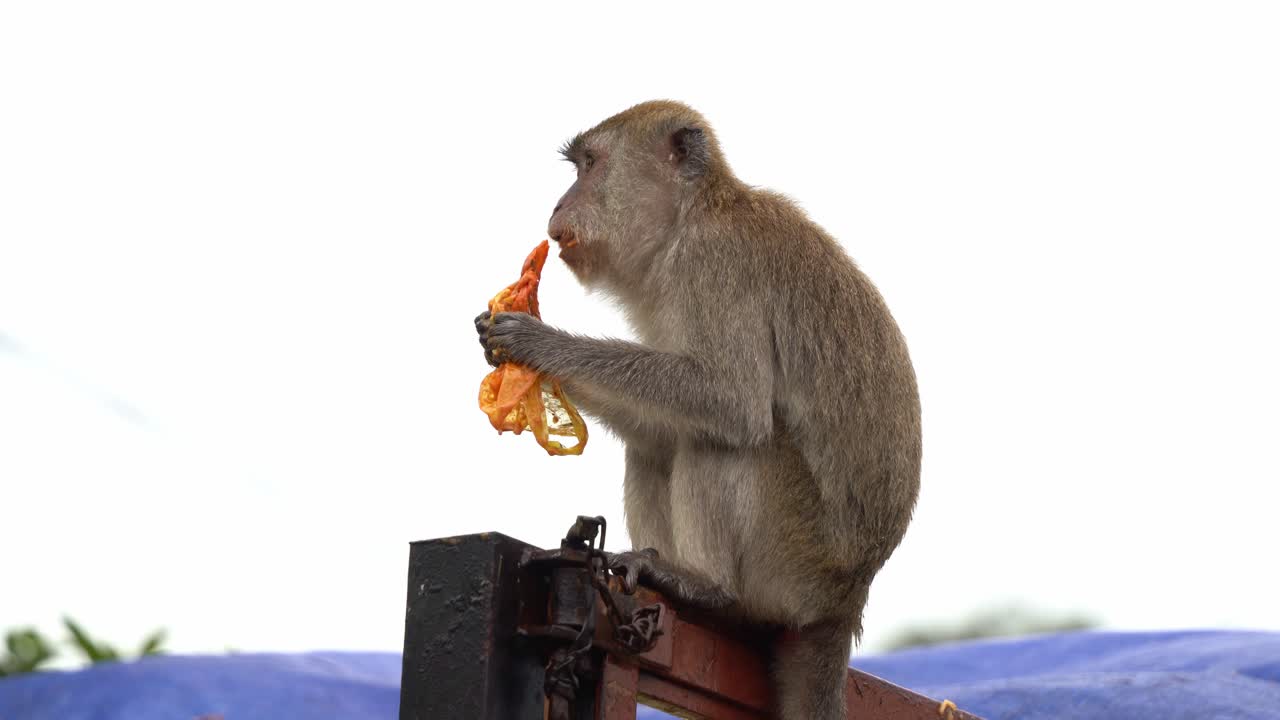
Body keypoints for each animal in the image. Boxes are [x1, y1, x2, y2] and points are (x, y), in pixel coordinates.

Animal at [475, 101, 921, 719]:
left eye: (589, 165)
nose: (558, 205)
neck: (690, 218)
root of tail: (848, 600)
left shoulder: (714, 264)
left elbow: (727, 400)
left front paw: (539, 343)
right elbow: (661, 413)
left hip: (795, 564)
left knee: (728, 437)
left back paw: (706, 586)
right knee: (656, 441)